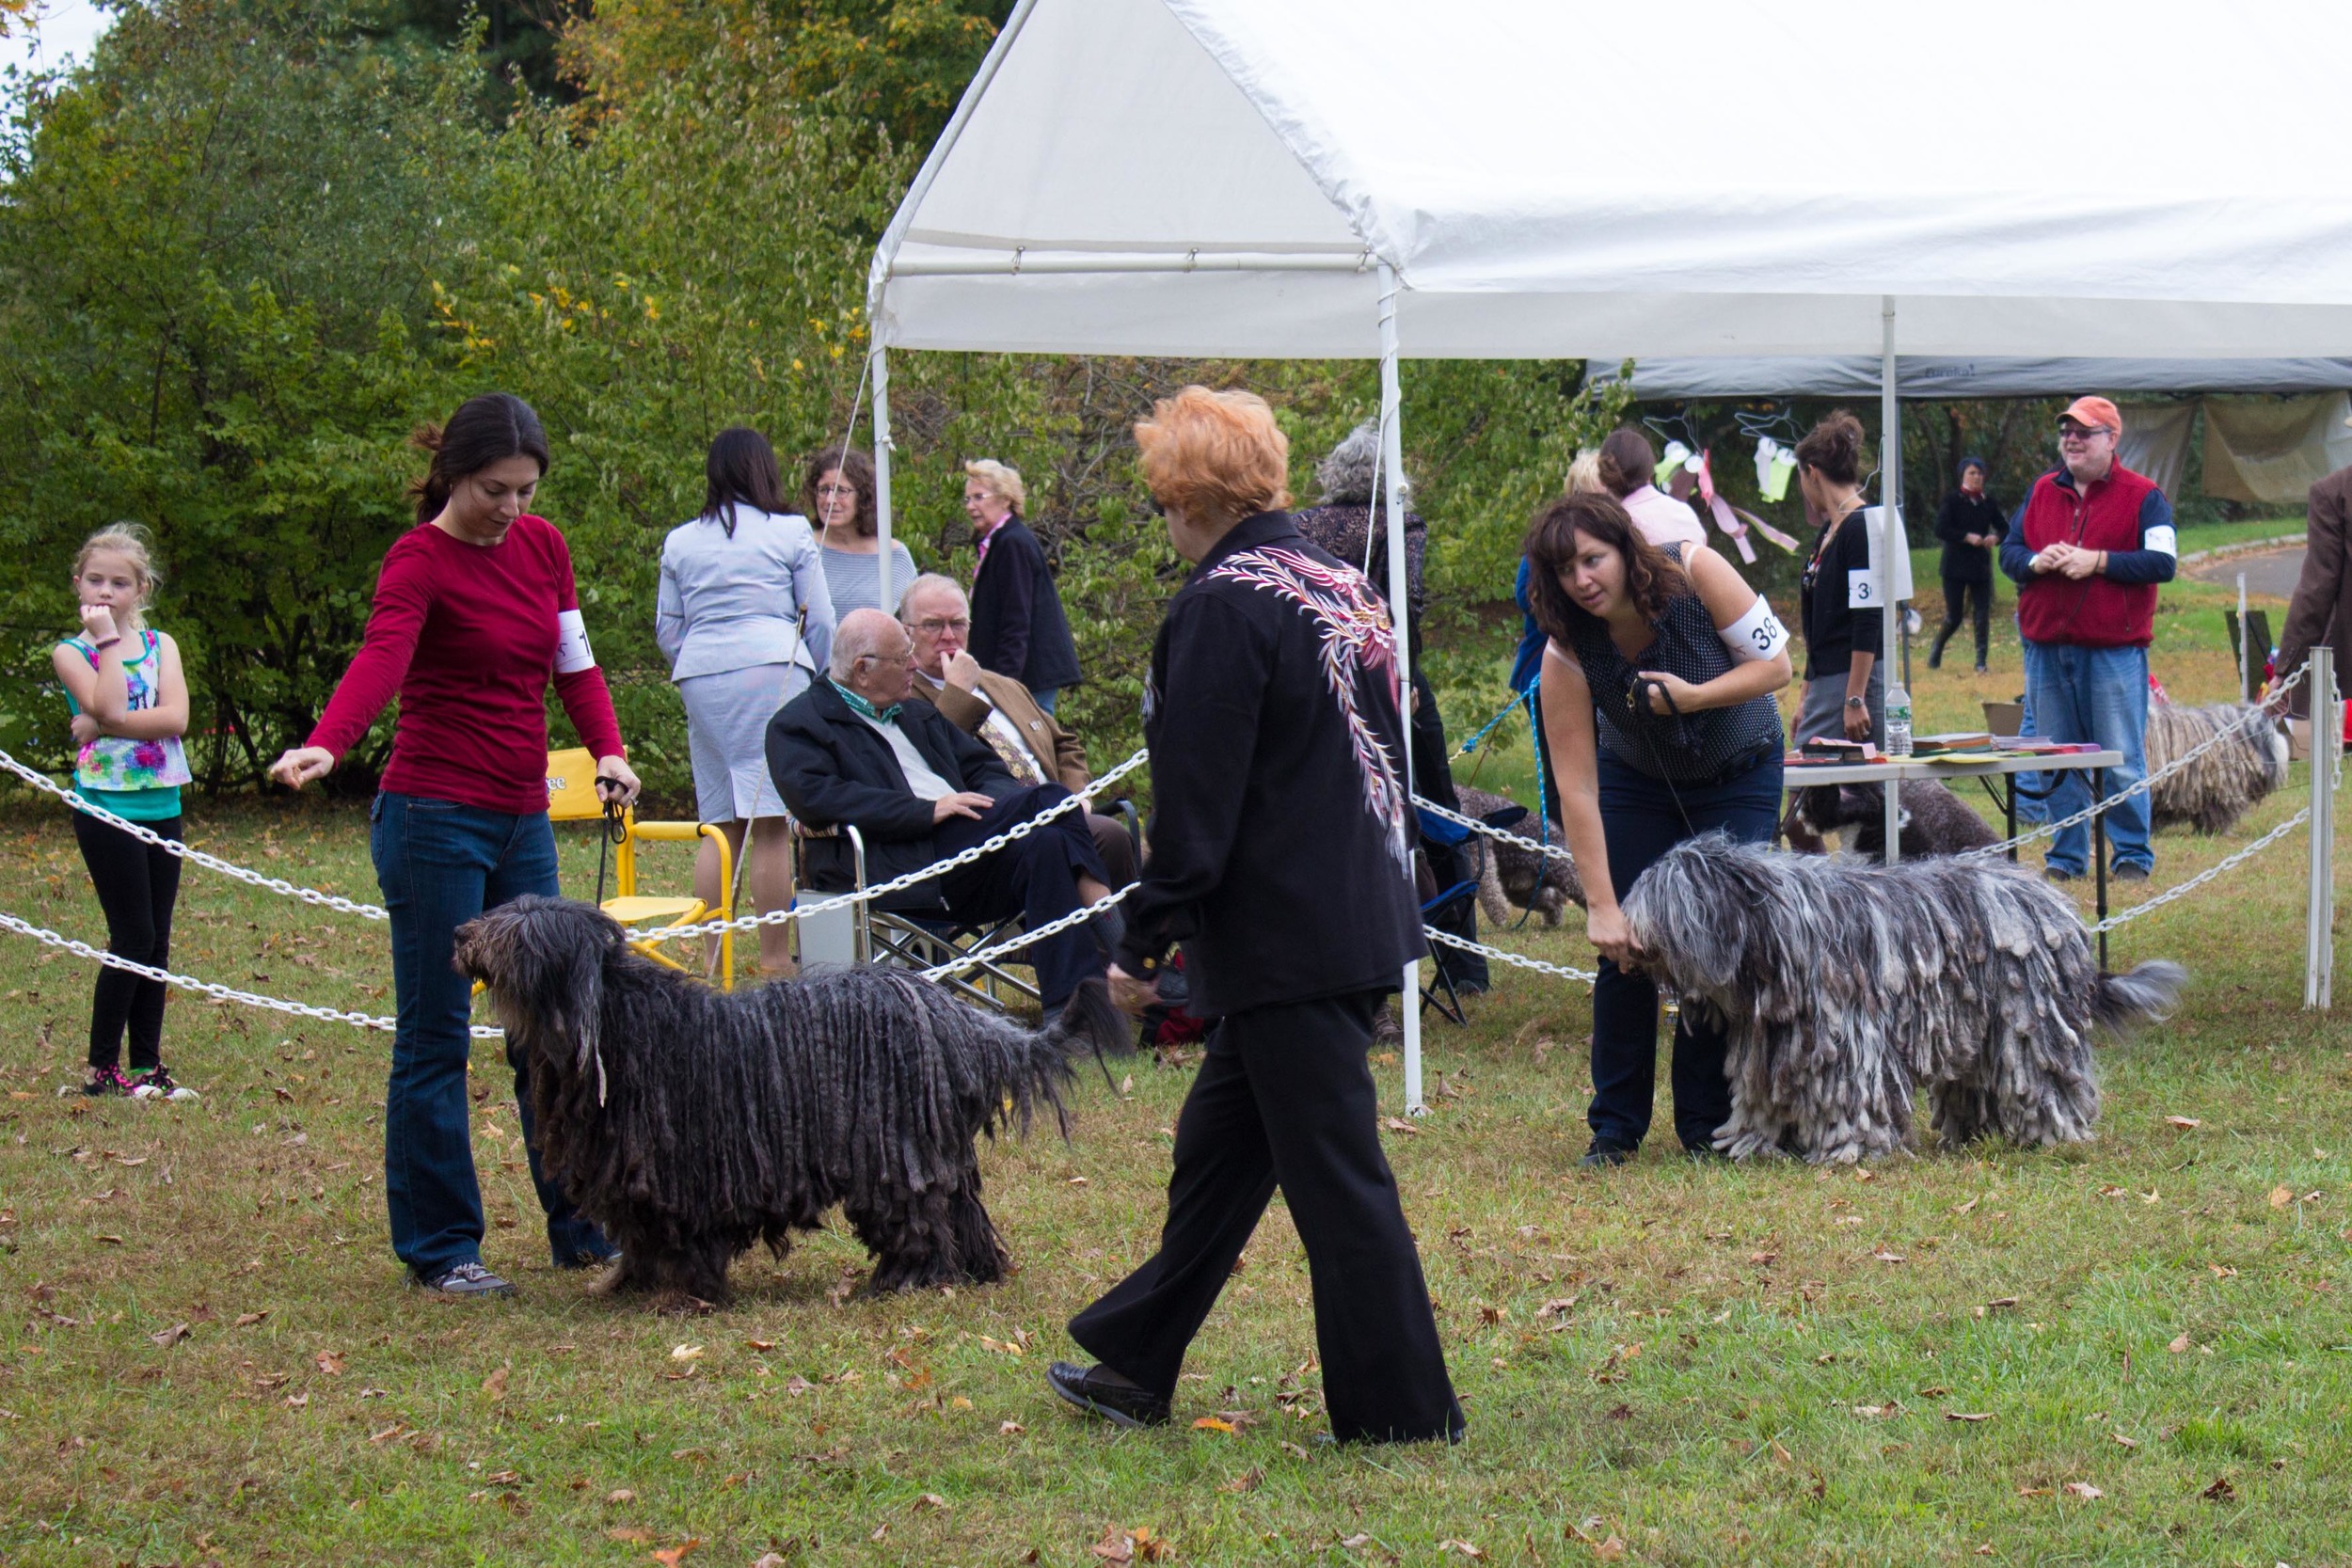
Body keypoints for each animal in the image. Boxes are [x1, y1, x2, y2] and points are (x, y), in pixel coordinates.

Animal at [456, 893, 1129, 1297]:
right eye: (502, 914)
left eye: (514, 932)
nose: (462, 932)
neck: (614, 1019)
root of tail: (947, 1011)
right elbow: (640, 1237)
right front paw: (630, 1283)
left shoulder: (680, 1168)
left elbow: (678, 1236)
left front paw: (685, 1291)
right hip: (937, 1150)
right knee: (962, 1212)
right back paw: (975, 1270)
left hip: (892, 1153)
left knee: (919, 1224)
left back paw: (900, 1280)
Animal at [1449, 789, 1581, 926]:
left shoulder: (1476, 854)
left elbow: (1489, 891)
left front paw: (1499, 916)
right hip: (1521, 892)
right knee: (1553, 900)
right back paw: (1551, 922)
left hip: (1566, 874)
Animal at [1618, 832, 2183, 1165]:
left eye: (1666, 902)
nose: (1631, 939)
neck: (1772, 930)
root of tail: (2059, 909)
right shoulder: (1771, 1042)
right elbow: (1762, 1097)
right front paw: (1757, 1144)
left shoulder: (1847, 1033)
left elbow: (1852, 1097)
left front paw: (1851, 1150)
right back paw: (1970, 1135)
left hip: (2030, 1023)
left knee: (2050, 1084)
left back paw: (2053, 1134)